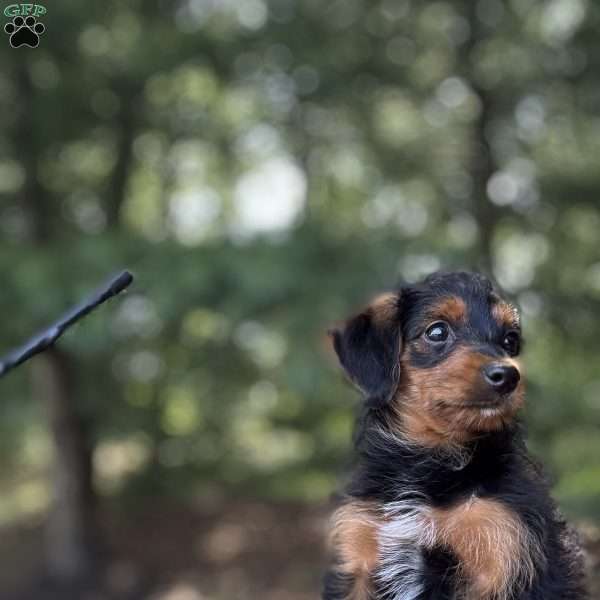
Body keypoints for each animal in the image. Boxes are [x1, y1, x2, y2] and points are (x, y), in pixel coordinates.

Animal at [324, 272, 584, 600]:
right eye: (437, 332)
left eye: (510, 340)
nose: (508, 377)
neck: (427, 462)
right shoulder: (358, 556)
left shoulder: (502, 558)